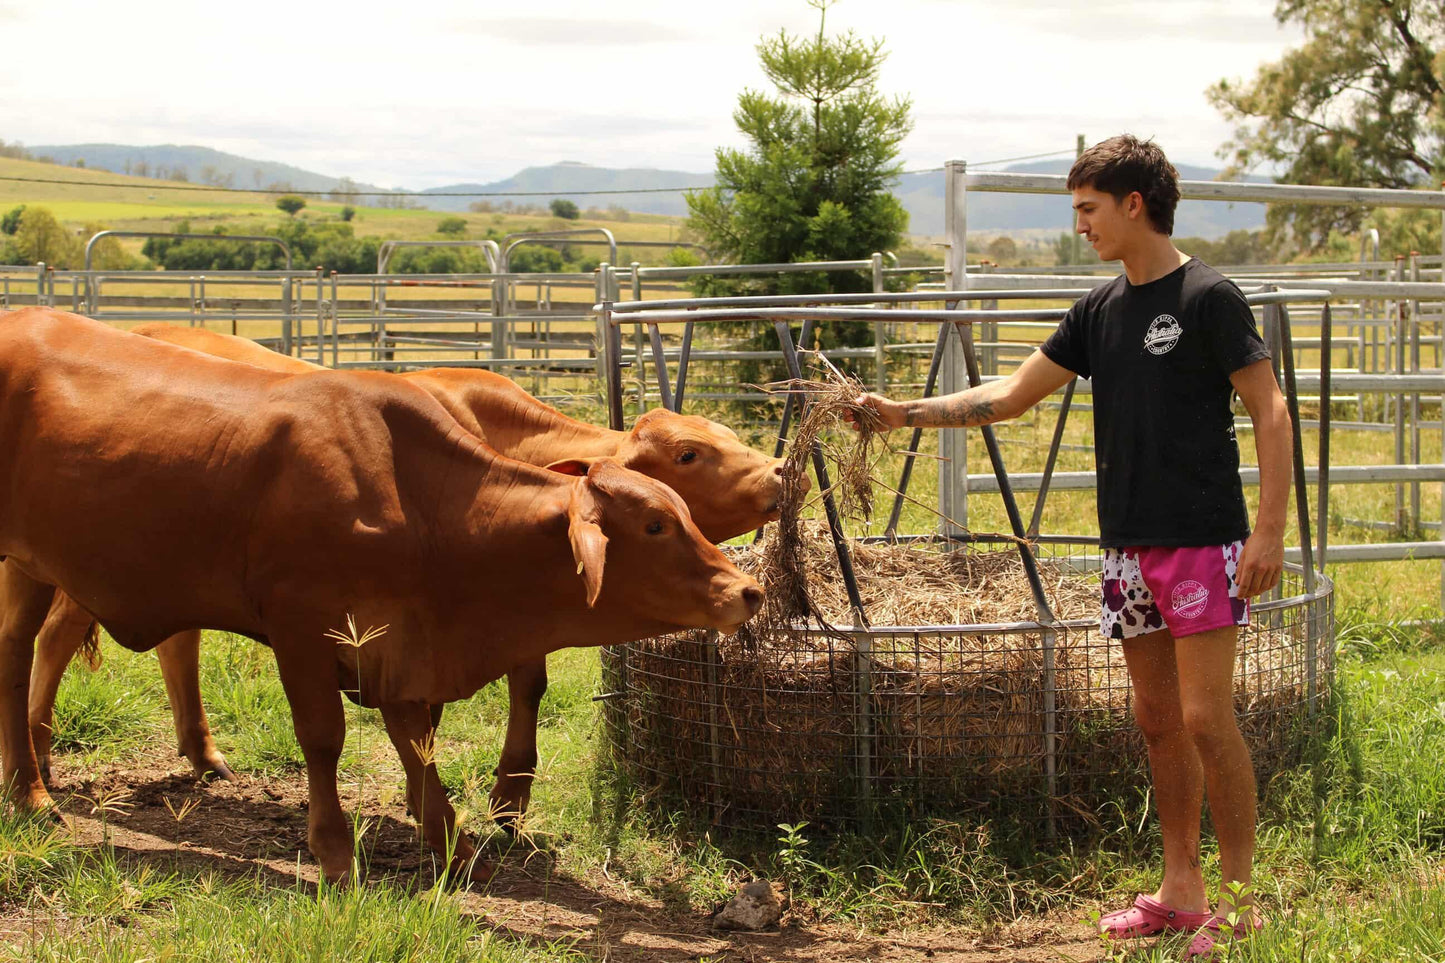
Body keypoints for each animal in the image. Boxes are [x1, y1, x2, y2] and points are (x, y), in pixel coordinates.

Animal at [0, 307, 763, 883]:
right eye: (657, 519)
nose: (749, 590)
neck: (416, 494)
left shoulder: (399, 643)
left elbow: (419, 740)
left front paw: (457, 846)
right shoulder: (304, 630)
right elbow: (326, 737)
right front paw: (339, 852)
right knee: (35, 650)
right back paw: (35, 789)